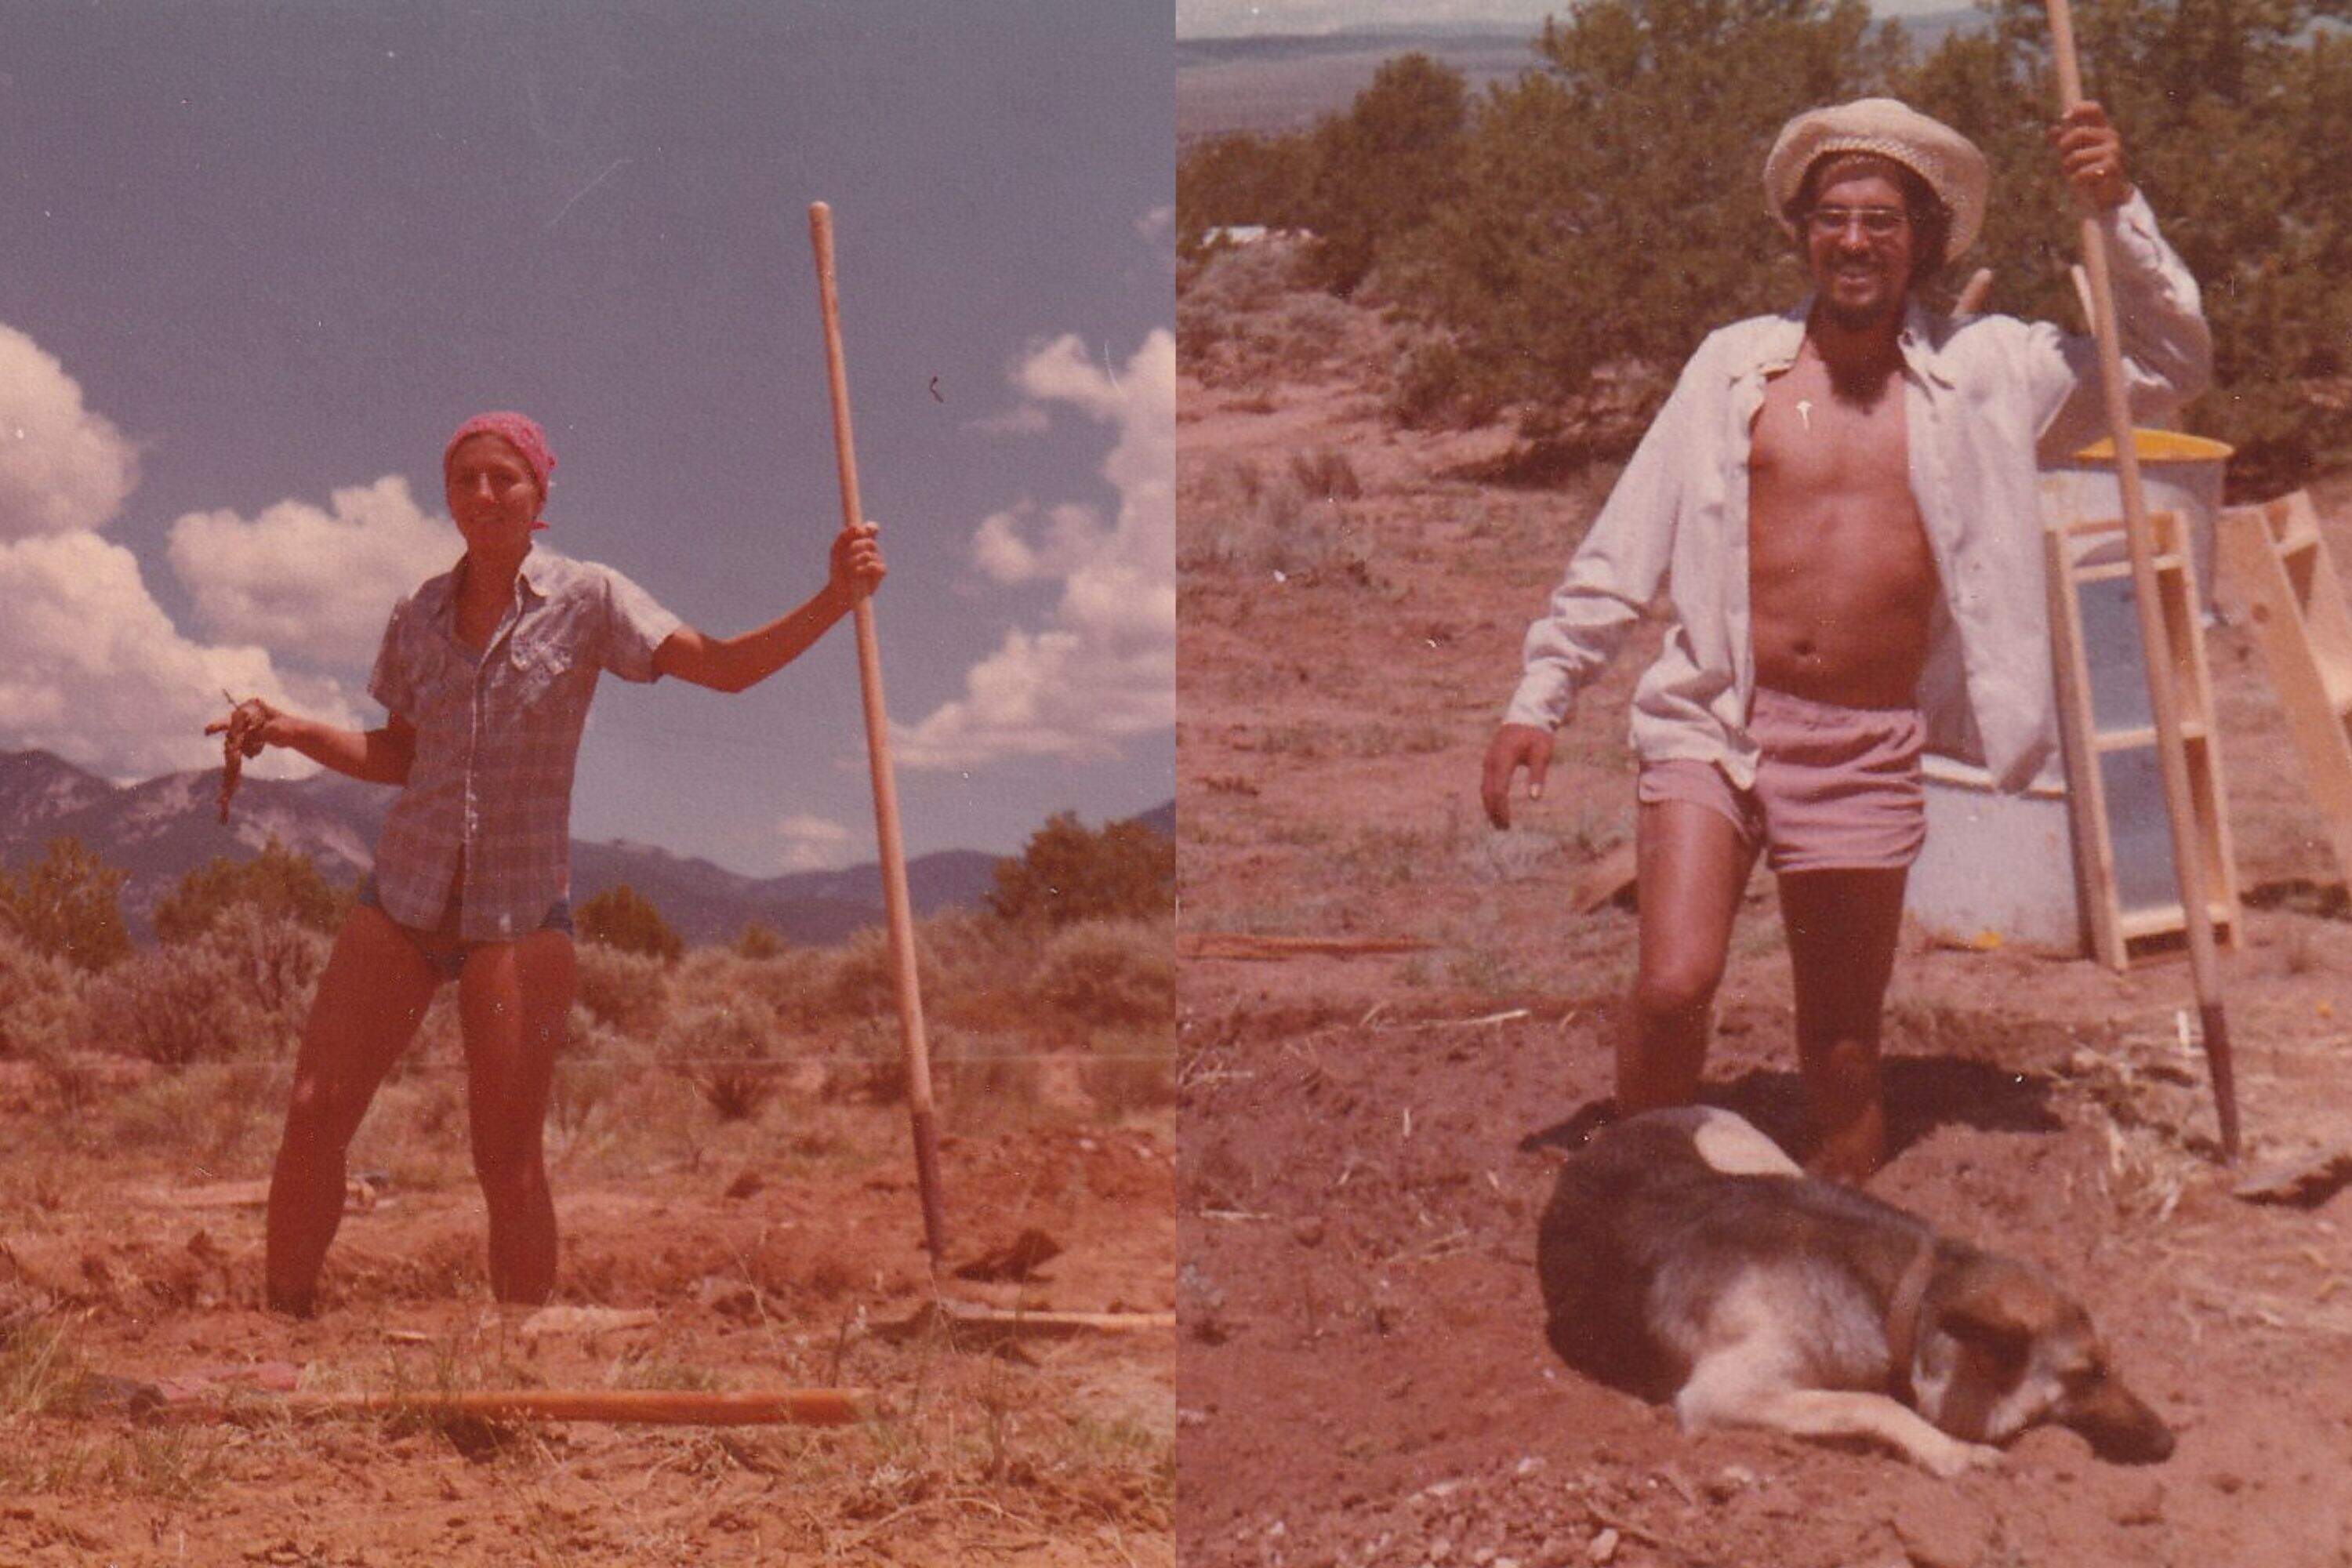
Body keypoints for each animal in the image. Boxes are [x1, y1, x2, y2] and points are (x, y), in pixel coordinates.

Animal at [1534, 1105, 2173, 1476]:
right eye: (2088, 1375)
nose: (2170, 1443)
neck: (1907, 1296)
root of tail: (1607, 1131)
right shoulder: (1721, 1395)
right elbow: (1873, 1403)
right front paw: (1952, 1453)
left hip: (1760, 1156)